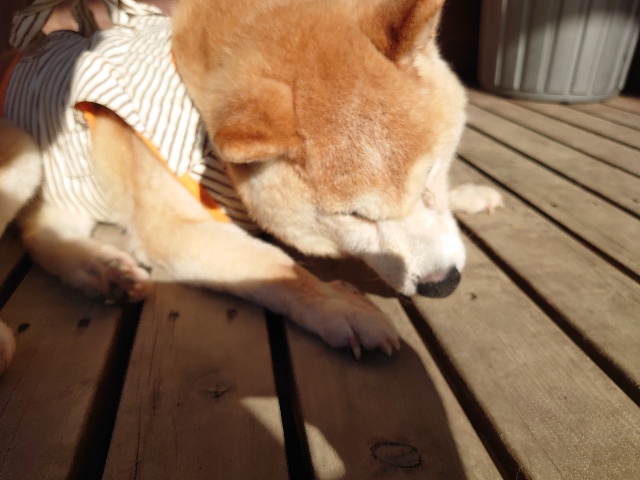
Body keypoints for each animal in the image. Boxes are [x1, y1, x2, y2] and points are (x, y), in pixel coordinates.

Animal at [0, 0, 502, 373]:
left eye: (431, 176)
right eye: (355, 216)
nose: (442, 285)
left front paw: (468, 194)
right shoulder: (171, 231)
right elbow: (274, 265)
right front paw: (337, 307)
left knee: (42, 235)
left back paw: (106, 272)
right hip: (22, 150)